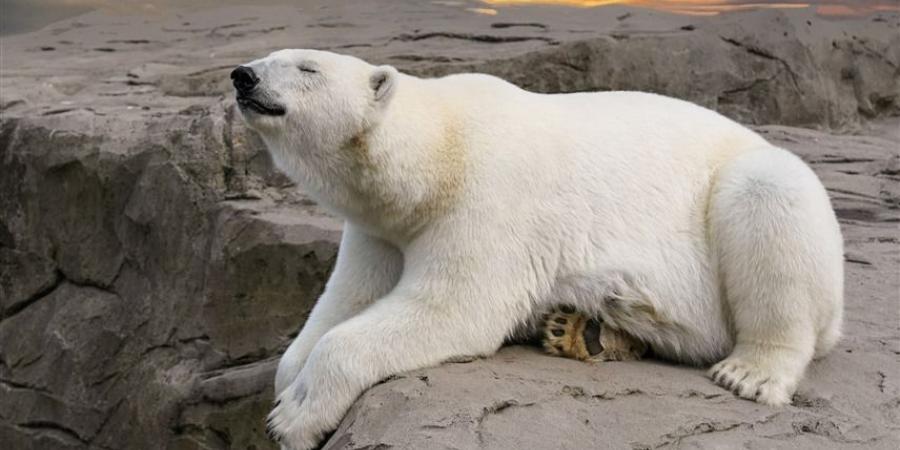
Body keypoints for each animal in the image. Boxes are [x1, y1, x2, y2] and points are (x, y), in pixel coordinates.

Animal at [230, 49, 844, 450]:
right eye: (271, 56)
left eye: (307, 68)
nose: (243, 75)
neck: (438, 154)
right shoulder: (380, 228)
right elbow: (347, 298)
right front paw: (286, 387)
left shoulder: (490, 197)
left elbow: (453, 309)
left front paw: (295, 417)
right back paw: (582, 328)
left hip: (751, 200)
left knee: (768, 198)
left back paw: (750, 372)